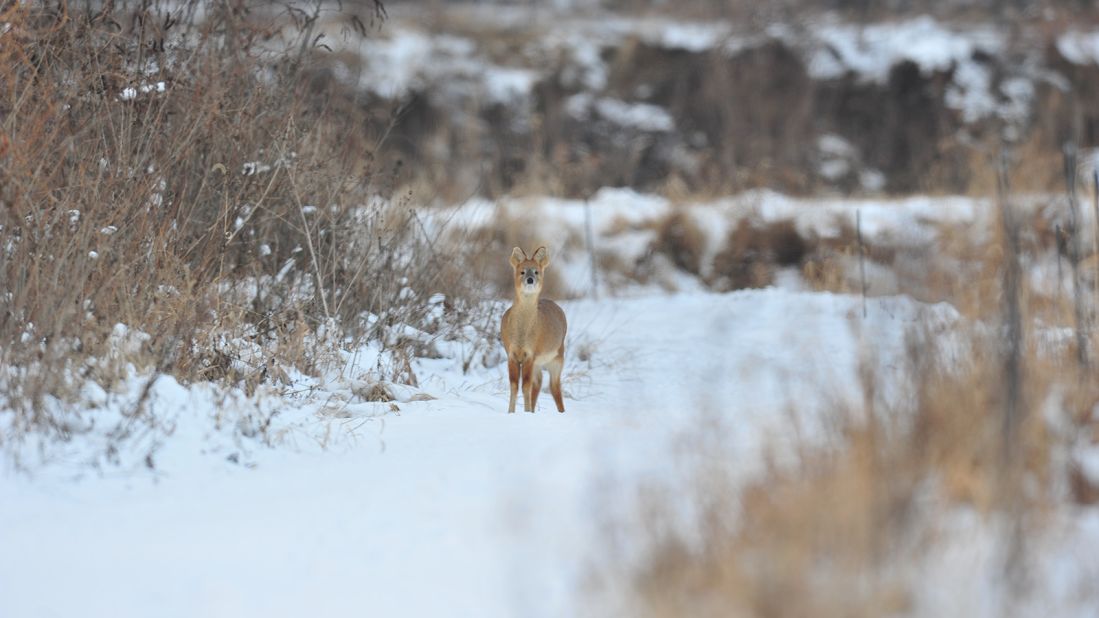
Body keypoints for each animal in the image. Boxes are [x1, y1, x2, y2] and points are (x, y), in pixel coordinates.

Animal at [501, 243, 567, 411]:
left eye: (536, 271)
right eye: (522, 271)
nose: (530, 279)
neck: (521, 335)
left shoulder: (531, 354)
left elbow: (525, 386)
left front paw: (524, 412)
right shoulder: (511, 353)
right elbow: (514, 386)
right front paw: (511, 412)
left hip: (557, 357)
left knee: (554, 386)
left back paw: (561, 412)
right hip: (539, 363)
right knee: (539, 383)